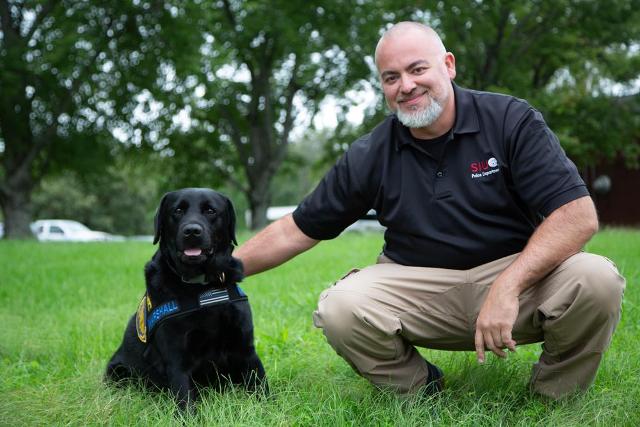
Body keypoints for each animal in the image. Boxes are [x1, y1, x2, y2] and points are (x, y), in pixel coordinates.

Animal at [106, 188, 266, 412]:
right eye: (178, 210)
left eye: (210, 210)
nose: (192, 231)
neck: (202, 287)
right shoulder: (177, 359)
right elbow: (185, 400)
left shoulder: (245, 349)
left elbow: (262, 387)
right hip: (118, 370)